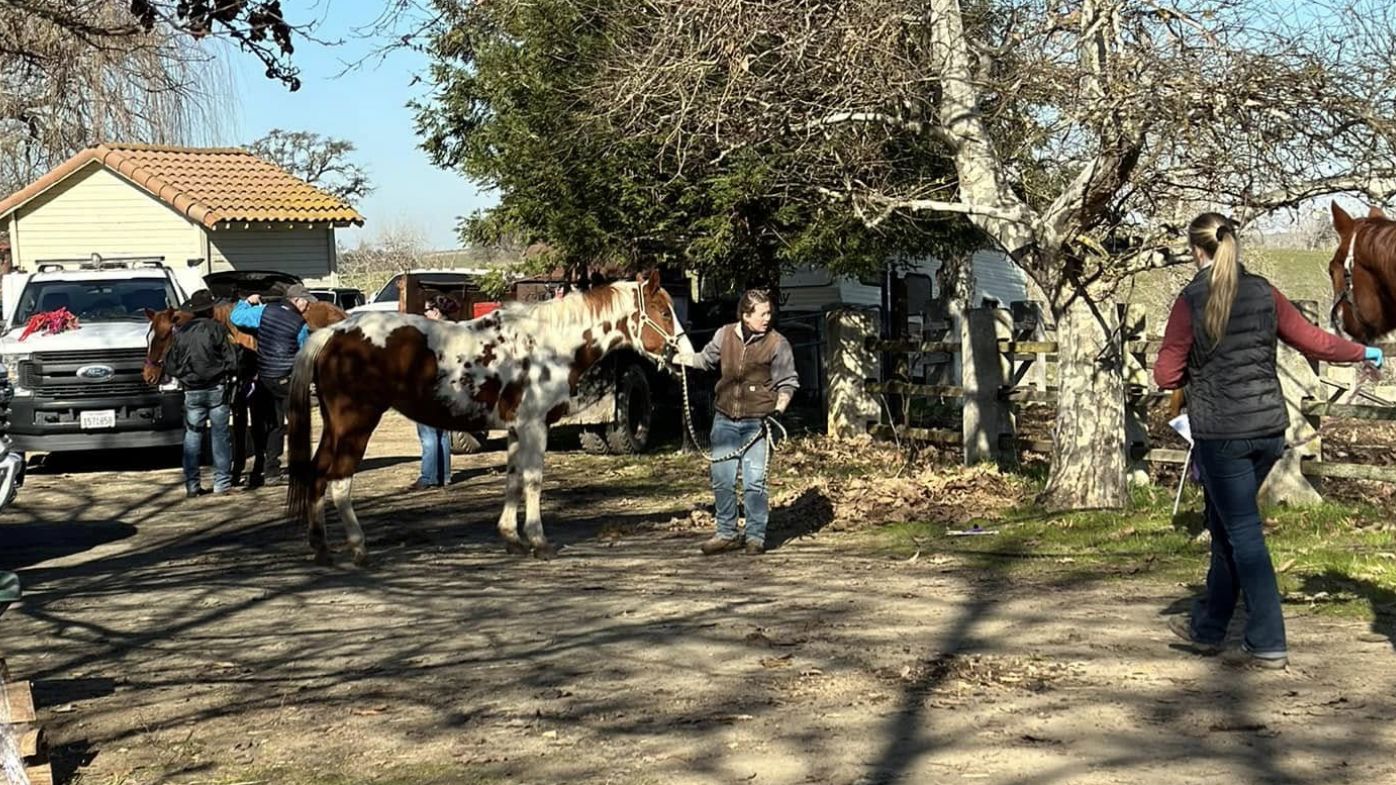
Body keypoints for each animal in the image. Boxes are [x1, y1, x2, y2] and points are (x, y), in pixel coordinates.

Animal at [284, 268, 698, 561]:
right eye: (664, 311)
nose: (686, 354)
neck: (548, 344)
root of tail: (335, 332)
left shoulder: (516, 430)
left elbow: (513, 480)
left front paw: (511, 537)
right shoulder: (534, 427)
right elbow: (533, 480)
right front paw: (539, 540)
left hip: (335, 426)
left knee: (317, 474)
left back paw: (320, 547)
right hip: (356, 423)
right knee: (340, 480)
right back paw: (358, 547)